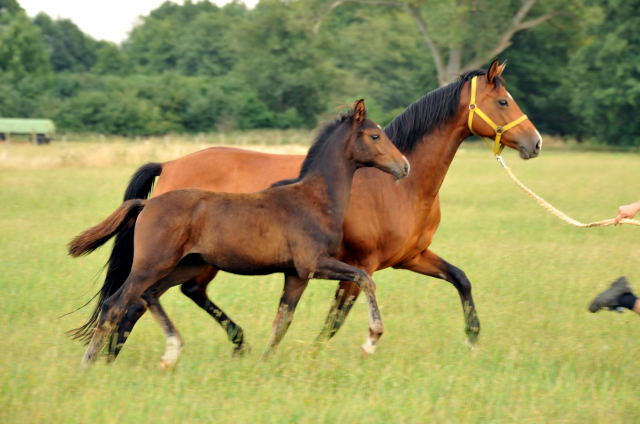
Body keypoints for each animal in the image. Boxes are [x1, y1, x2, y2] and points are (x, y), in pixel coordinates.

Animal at [70, 60, 540, 364]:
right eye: (503, 102)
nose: (534, 143)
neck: (399, 188)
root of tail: (168, 166)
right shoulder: (358, 263)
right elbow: (336, 318)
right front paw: (331, 352)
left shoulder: (412, 257)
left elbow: (460, 278)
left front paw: (473, 339)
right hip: (179, 260)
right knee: (138, 300)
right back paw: (113, 357)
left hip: (192, 261)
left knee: (161, 296)